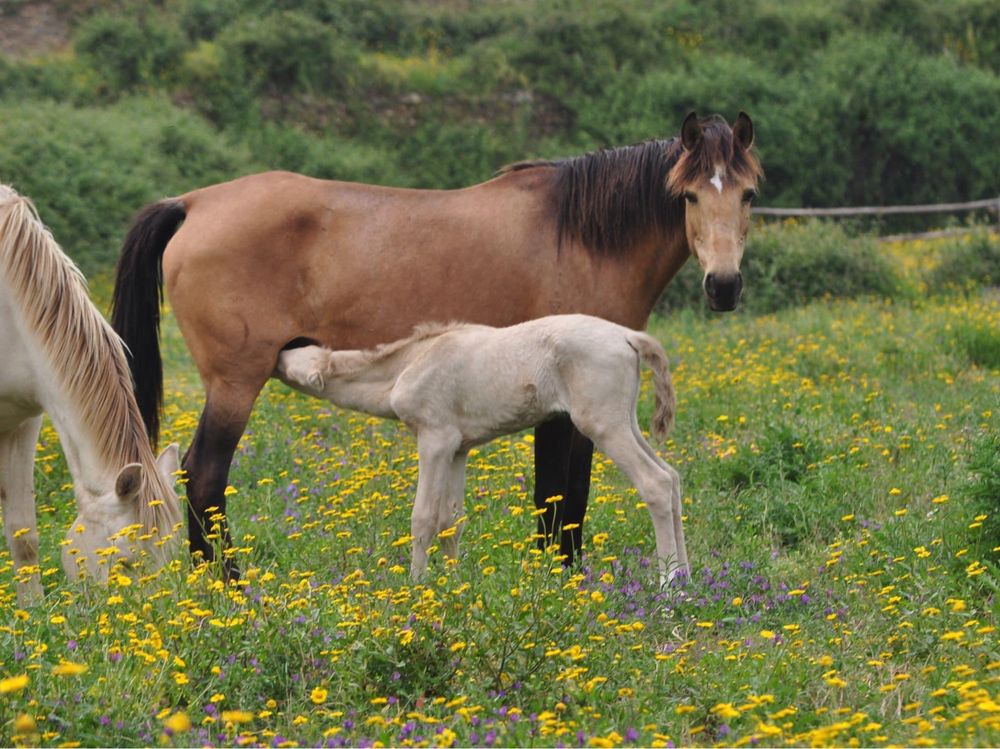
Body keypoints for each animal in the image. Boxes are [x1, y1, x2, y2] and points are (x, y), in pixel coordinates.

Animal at [278, 314, 692, 584]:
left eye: (293, 354)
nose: (279, 346)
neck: (408, 364)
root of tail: (629, 337)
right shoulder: (459, 448)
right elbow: (451, 520)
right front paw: (454, 582)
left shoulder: (434, 439)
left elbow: (423, 517)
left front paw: (416, 585)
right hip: (625, 419)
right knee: (672, 477)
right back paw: (687, 579)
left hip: (602, 422)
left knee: (655, 482)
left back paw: (668, 586)